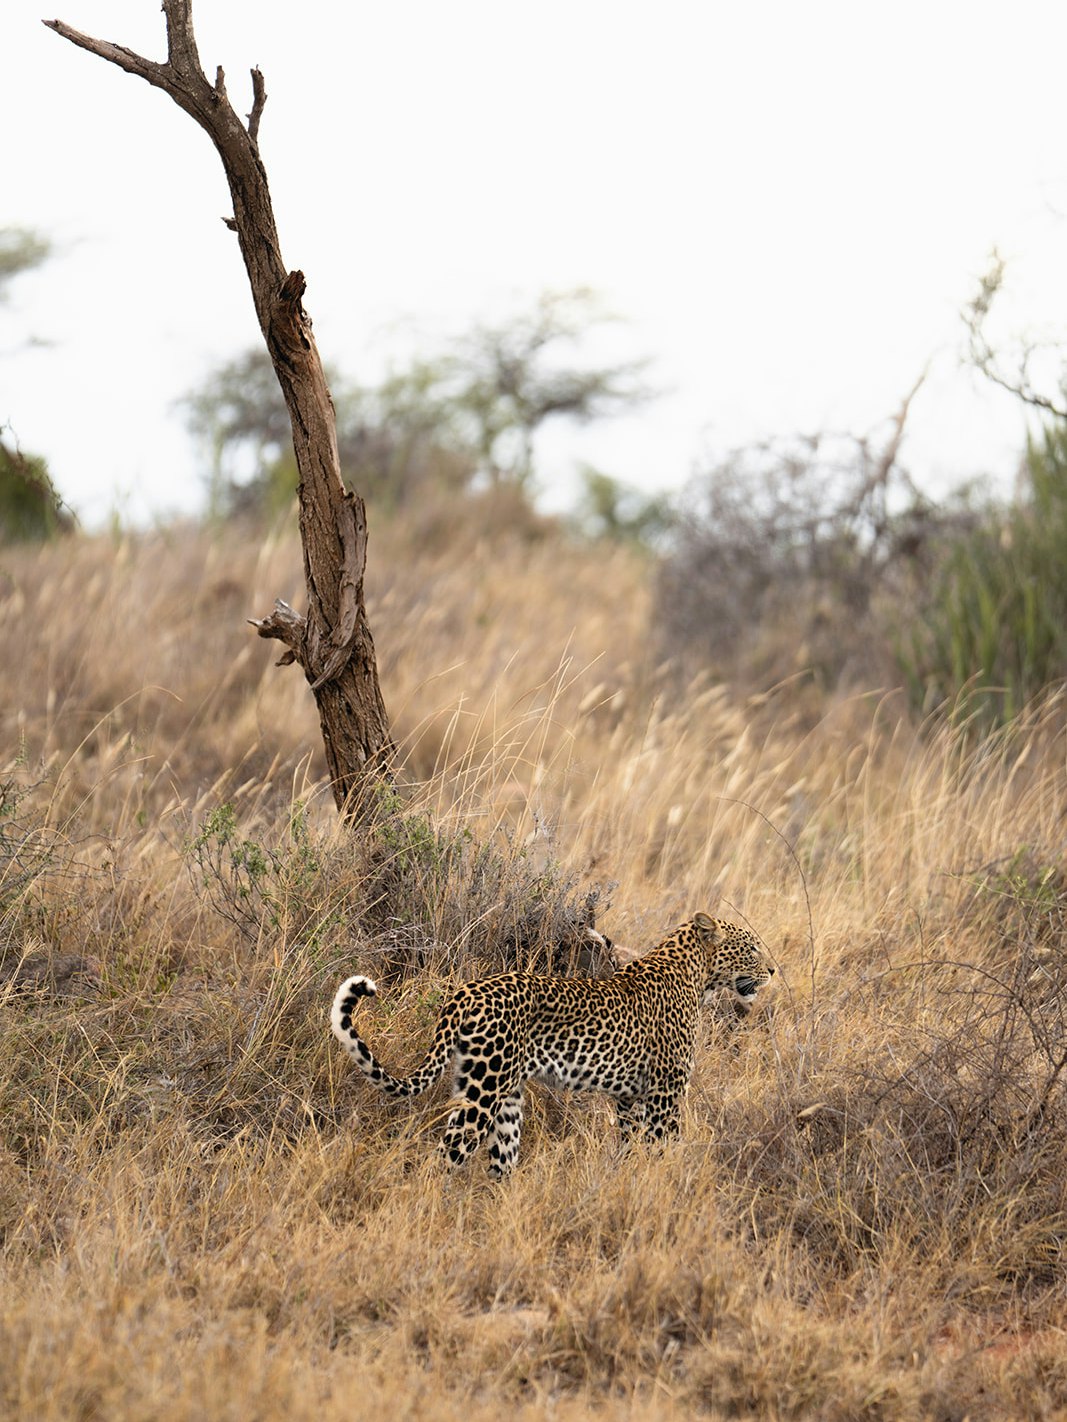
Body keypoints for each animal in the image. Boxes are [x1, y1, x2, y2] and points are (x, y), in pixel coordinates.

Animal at [329, 913, 775, 1178]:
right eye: (752, 948)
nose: (773, 970)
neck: (697, 976)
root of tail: (463, 992)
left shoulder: (631, 1098)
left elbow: (631, 1147)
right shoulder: (666, 1091)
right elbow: (667, 1146)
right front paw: (668, 1187)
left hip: (503, 1096)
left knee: (498, 1159)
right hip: (484, 1092)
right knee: (446, 1152)